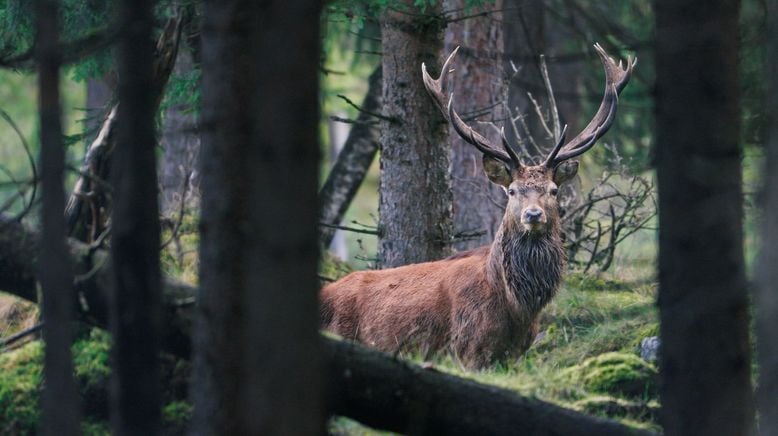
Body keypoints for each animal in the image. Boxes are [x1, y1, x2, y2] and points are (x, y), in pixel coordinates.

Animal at [318, 44, 632, 368]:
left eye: (554, 190)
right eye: (512, 191)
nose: (533, 214)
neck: (516, 306)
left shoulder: (517, 353)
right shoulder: (468, 349)